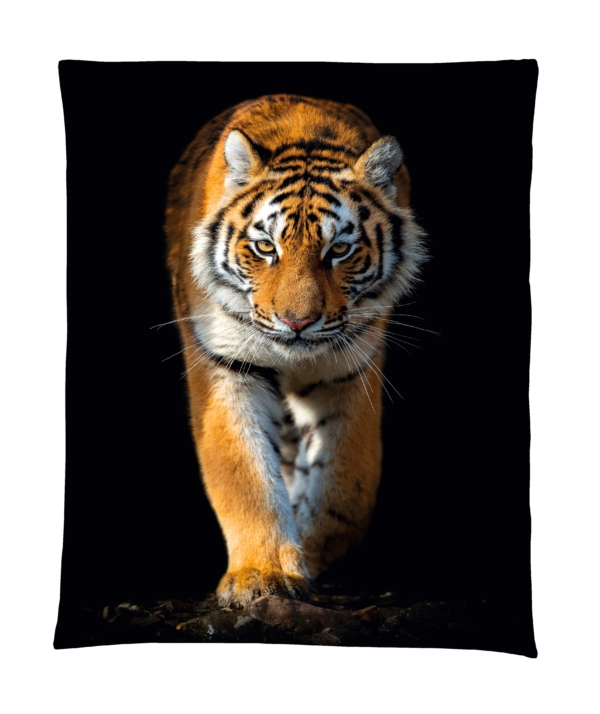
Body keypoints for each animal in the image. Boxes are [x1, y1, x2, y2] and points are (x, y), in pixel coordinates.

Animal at [164, 94, 426, 608]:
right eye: (266, 247)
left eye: (339, 250)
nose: (297, 322)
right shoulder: (228, 367)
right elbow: (244, 477)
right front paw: (263, 576)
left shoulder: (351, 367)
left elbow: (347, 485)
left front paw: (311, 555)